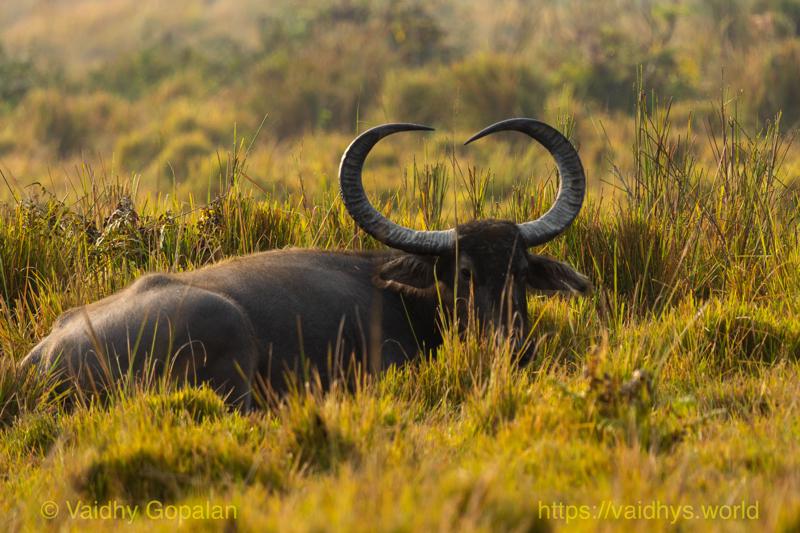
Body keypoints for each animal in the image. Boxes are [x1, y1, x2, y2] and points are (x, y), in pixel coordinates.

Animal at [20, 118, 590, 409]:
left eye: (521, 270)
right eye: (464, 272)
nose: (514, 345)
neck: (413, 304)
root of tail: (40, 359)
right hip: (226, 330)